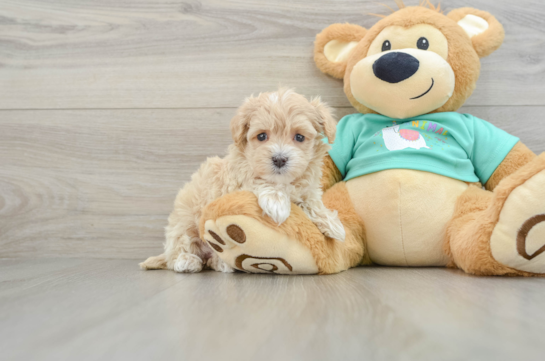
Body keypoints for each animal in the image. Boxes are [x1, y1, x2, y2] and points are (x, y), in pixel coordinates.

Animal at [140, 88, 344, 272]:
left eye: (299, 137)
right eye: (261, 136)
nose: (279, 159)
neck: (282, 182)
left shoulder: (306, 188)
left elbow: (312, 201)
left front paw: (331, 223)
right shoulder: (237, 180)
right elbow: (257, 181)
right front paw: (277, 203)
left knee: (211, 259)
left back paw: (221, 263)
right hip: (184, 225)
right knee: (178, 249)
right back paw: (186, 261)